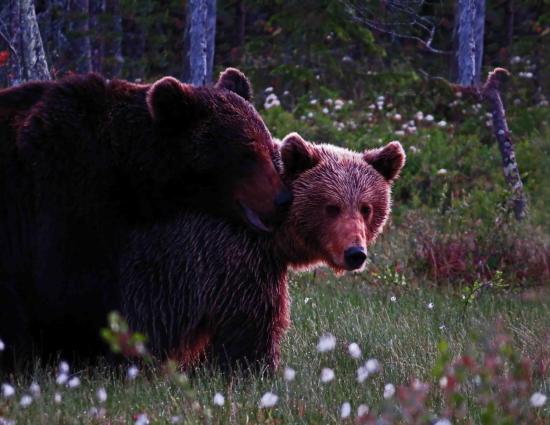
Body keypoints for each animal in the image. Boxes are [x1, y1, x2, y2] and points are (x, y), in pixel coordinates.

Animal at [121, 134, 406, 370]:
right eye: (332, 207)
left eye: (366, 208)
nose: (355, 253)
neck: (274, 234)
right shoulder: (230, 253)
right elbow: (254, 318)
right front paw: (254, 368)